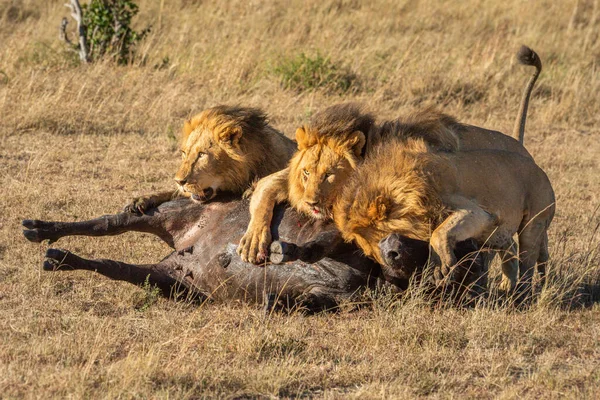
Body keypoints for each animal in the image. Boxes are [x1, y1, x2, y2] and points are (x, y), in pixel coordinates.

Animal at [125, 104, 298, 214]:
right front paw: (141, 200)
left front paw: (252, 189)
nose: (179, 181)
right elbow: (169, 192)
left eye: (202, 154)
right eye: (184, 153)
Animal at [239, 45, 544, 264]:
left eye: (330, 175)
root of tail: (521, 147)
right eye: (306, 173)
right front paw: (253, 239)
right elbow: (267, 186)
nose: (311, 202)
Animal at [332, 138, 552, 296]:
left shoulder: (477, 212)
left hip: (533, 223)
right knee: (520, 253)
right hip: (499, 233)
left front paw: (440, 266)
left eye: (382, 240)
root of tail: (541, 170)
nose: (389, 275)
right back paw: (513, 286)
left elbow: (438, 233)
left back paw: (522, 294)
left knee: (527, 261)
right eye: (370, 254)